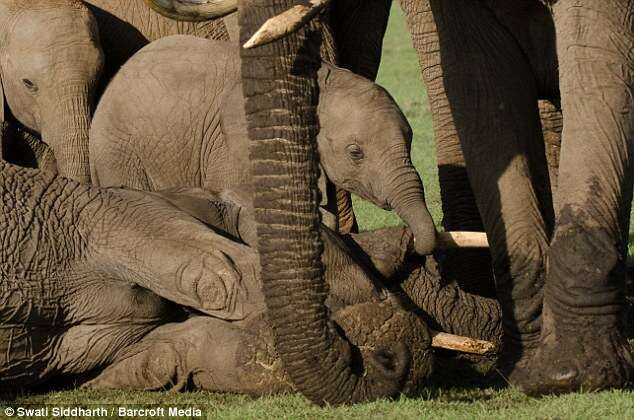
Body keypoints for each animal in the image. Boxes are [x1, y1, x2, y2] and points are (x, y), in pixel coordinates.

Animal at [87, 37, 434, 253]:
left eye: (410, 140)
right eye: (356, 153)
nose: (413, 243)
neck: (317, 79)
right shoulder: (236, 147)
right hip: (116, 147)